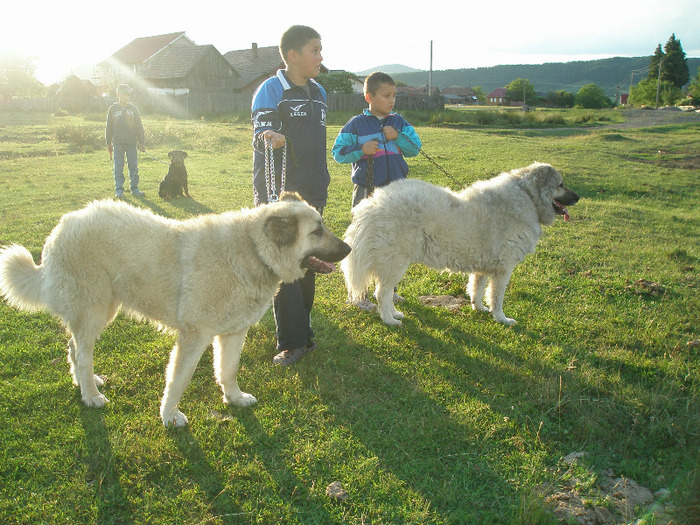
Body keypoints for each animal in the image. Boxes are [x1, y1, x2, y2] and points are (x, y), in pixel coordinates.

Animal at [0, 192, 350, 426]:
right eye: (316, 231)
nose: (348, 247)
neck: (252, 250)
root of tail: (64, 224)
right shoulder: (193, 336)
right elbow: (179, 380)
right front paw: (169, 415)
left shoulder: (234, 333)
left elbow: (228, 370)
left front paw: (234, 398)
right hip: (94, 311)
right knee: (82, 353)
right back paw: (91, 396)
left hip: (101, 311)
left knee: (74, 349)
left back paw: (88, 384)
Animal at [340, 161, 580, 324]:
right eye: (561, 184)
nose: (578, 197)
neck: (528, 196)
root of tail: (371, 204)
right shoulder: (503, 269)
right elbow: (497, 297)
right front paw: (501, 318)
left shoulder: (484, 267)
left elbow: (477, 289)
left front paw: (479, 308)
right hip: (395, 262)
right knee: (382, 293)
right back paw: (390, 320)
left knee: (386, 293)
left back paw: (395, 314)